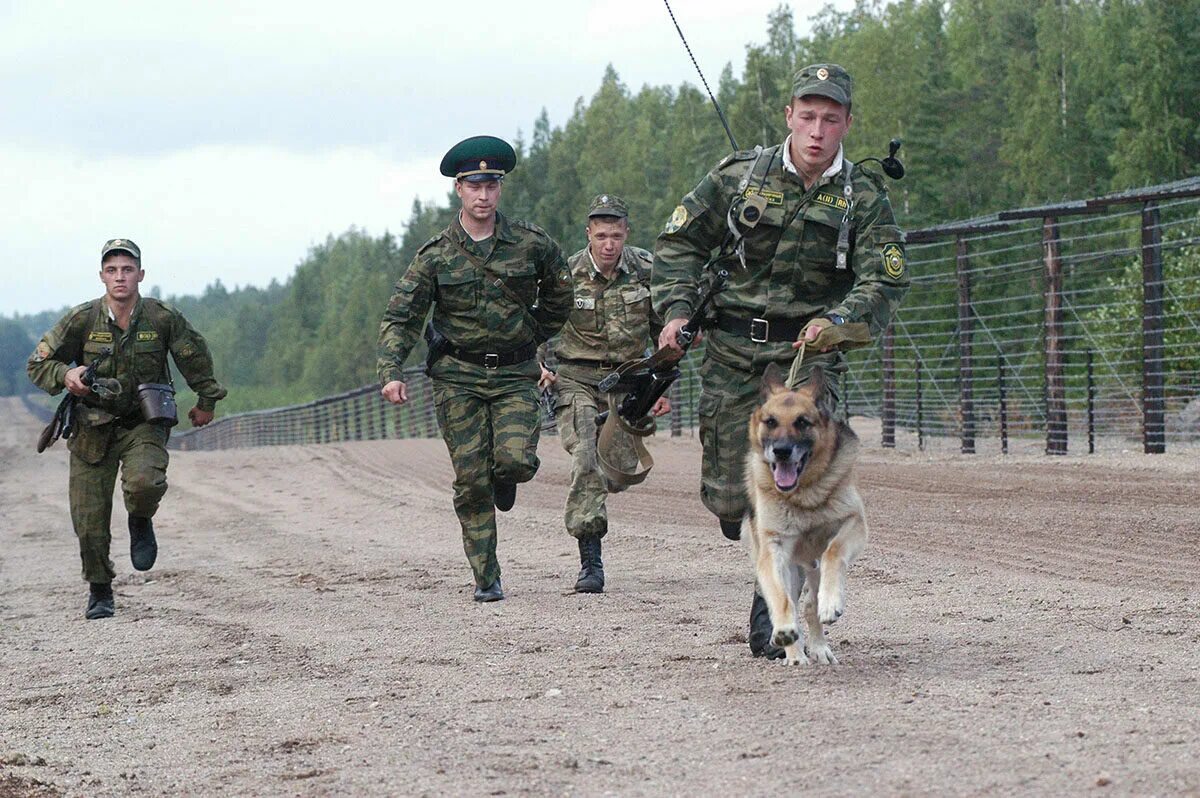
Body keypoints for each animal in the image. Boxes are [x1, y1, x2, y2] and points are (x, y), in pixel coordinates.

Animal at [739, 364, 864, 662]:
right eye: (770, 421)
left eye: (803, 422)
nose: (782, 451)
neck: (803, 495)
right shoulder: (773, 548)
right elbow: (781, 599)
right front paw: (785, 632)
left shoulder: (854, 522)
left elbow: (833, 552)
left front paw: (831, 604)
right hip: (789, 567)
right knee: (792, 602)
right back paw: (794, 653)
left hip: (811, 567)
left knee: (809, 604)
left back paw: (819, 646)